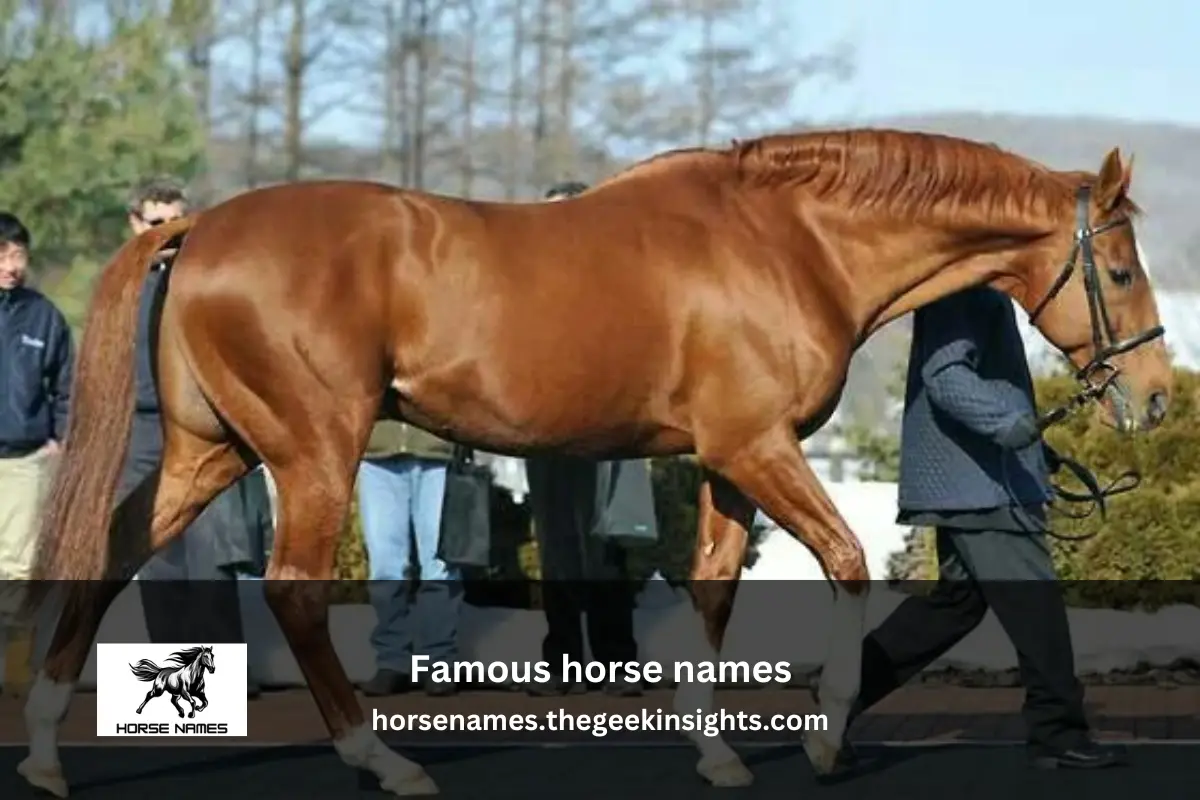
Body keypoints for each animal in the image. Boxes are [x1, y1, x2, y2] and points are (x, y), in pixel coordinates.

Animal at [17, 127, 1170, 798]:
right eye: (1118, 267)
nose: (1156, 395)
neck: (788, 240)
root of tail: (201, 229)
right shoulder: (757, 444)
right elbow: (846, 564)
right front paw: (825, 739)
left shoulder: (724, 459)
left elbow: (712, 587)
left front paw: (718, 750)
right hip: (313, 449)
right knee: (294, 589)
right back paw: (382, 759)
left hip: (212, 450)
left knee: (110, 550)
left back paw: (42, 749)